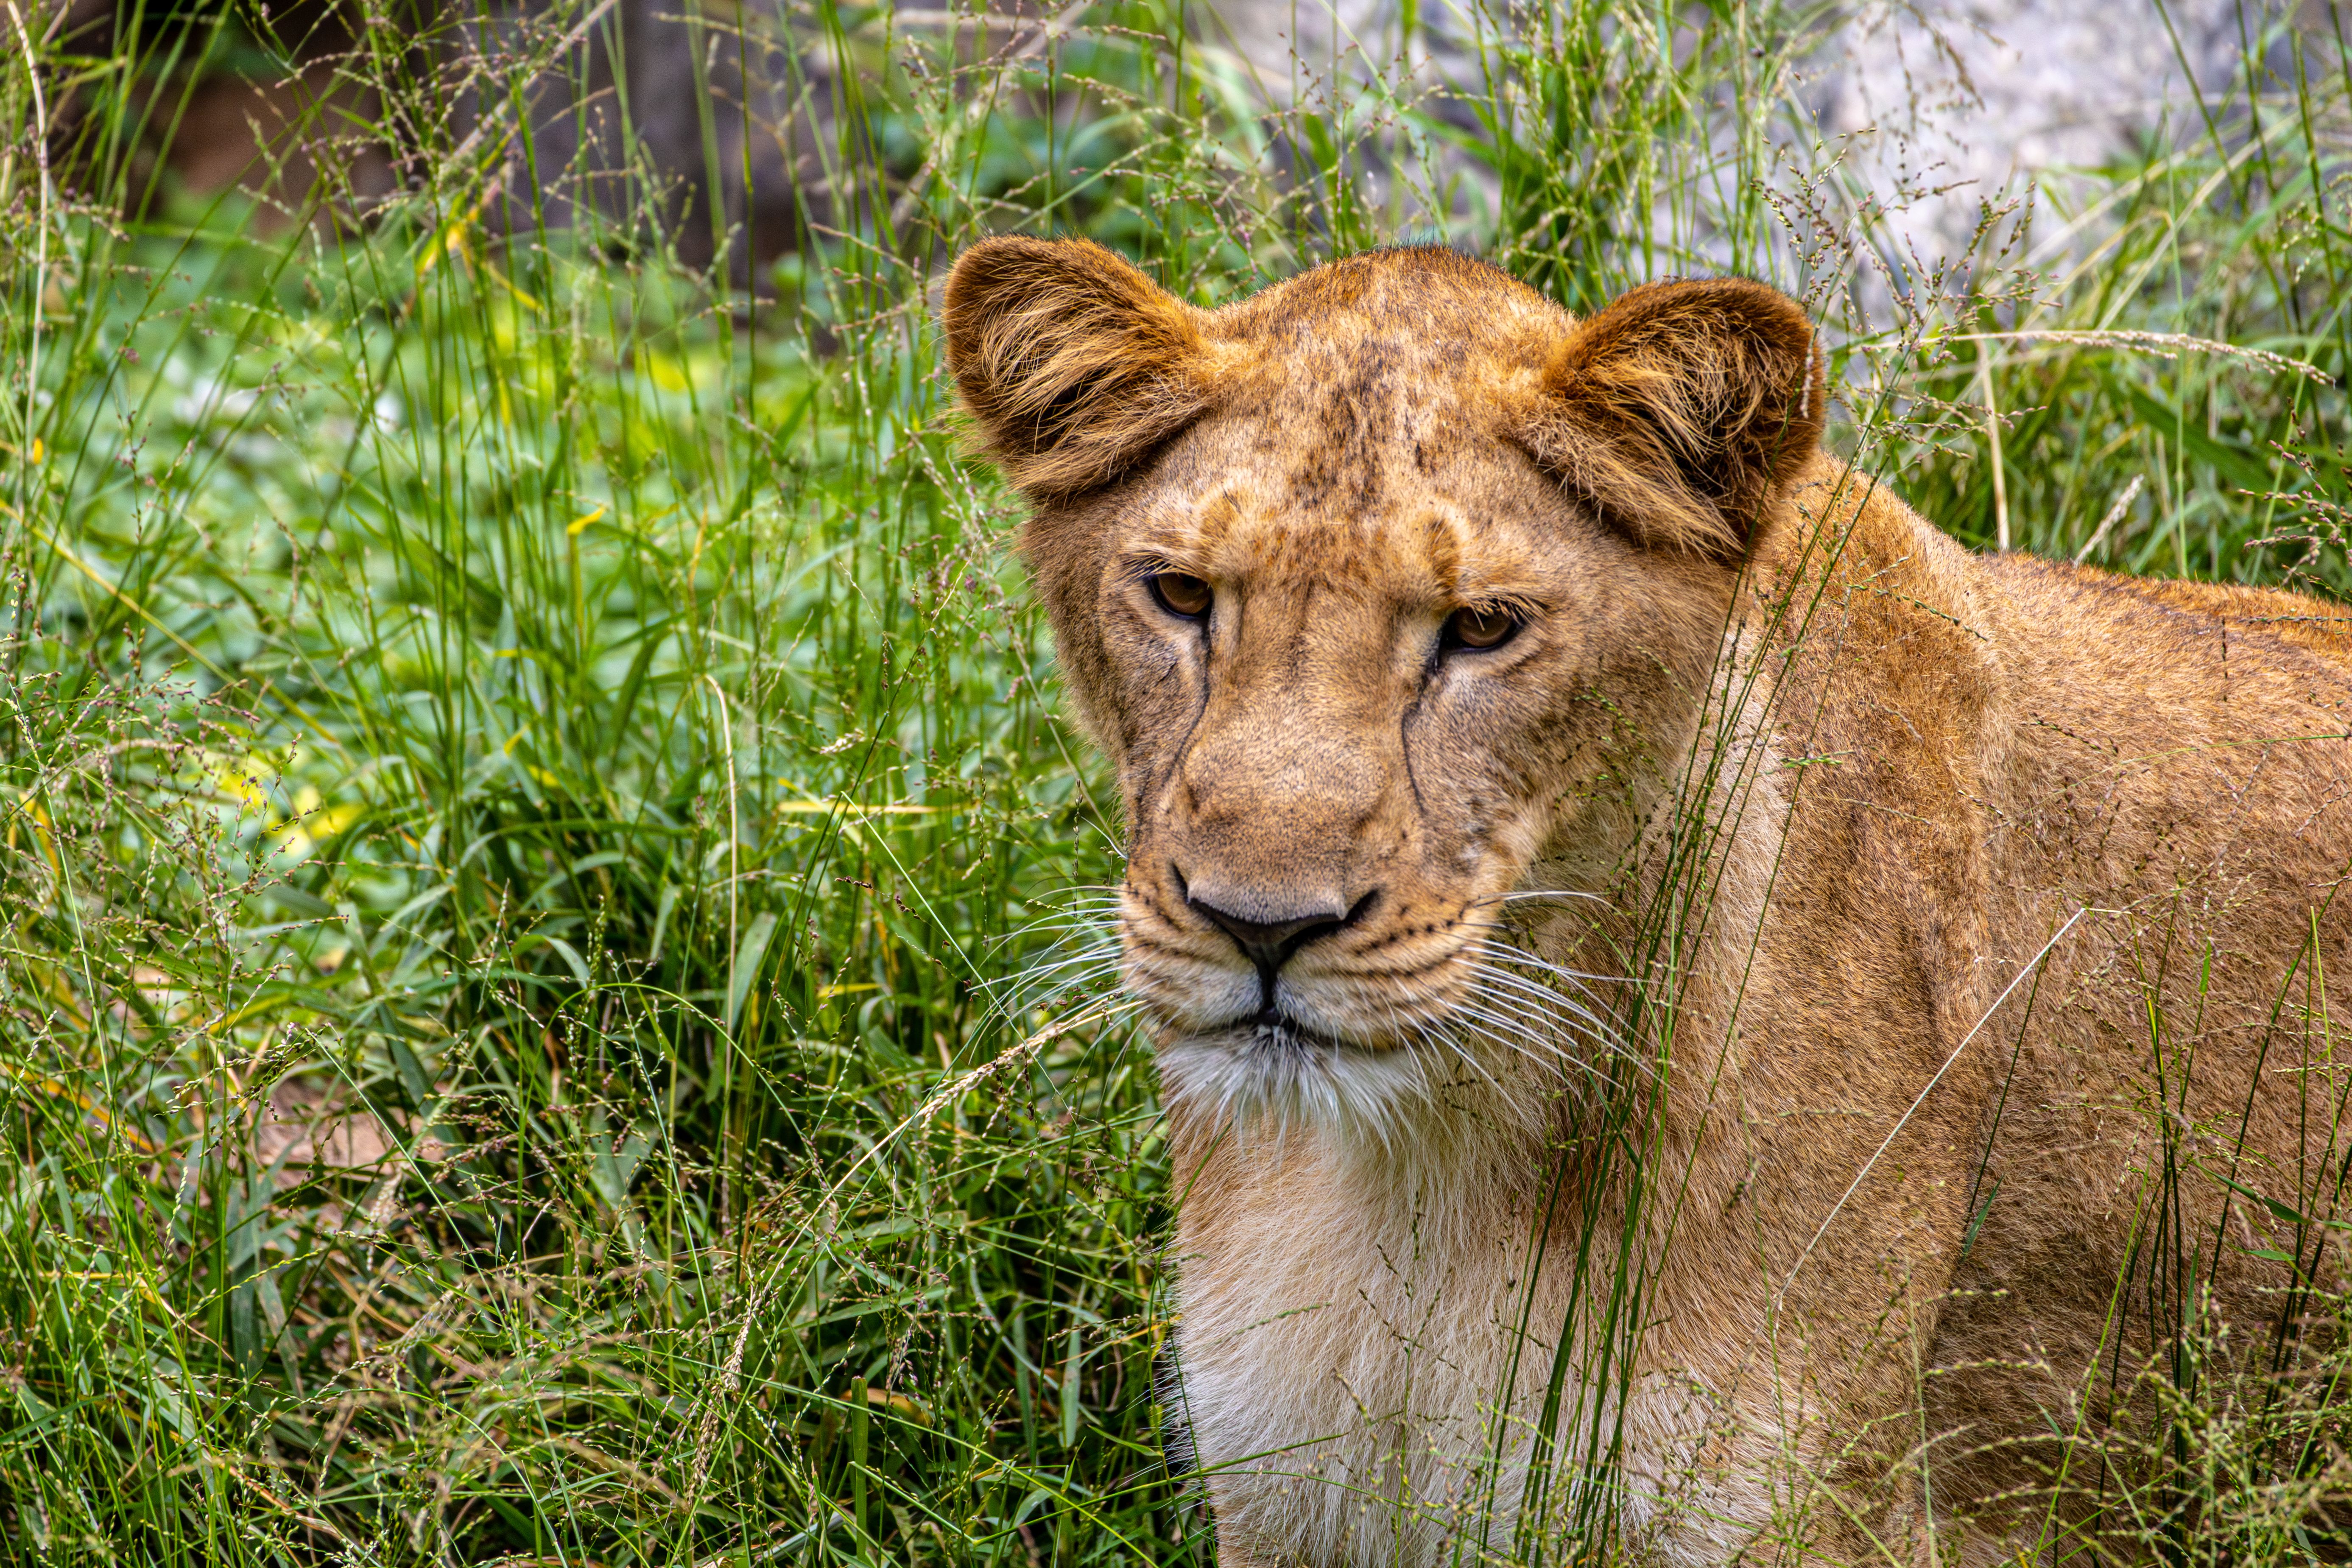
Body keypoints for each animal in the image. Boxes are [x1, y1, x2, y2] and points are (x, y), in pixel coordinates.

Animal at [942, 237, 2352, 1565]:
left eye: (1482, 628)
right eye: (1180, 595)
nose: (1260, 923)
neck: (1426, 1171)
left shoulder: (1820, 1508)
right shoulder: (1283, 1492)